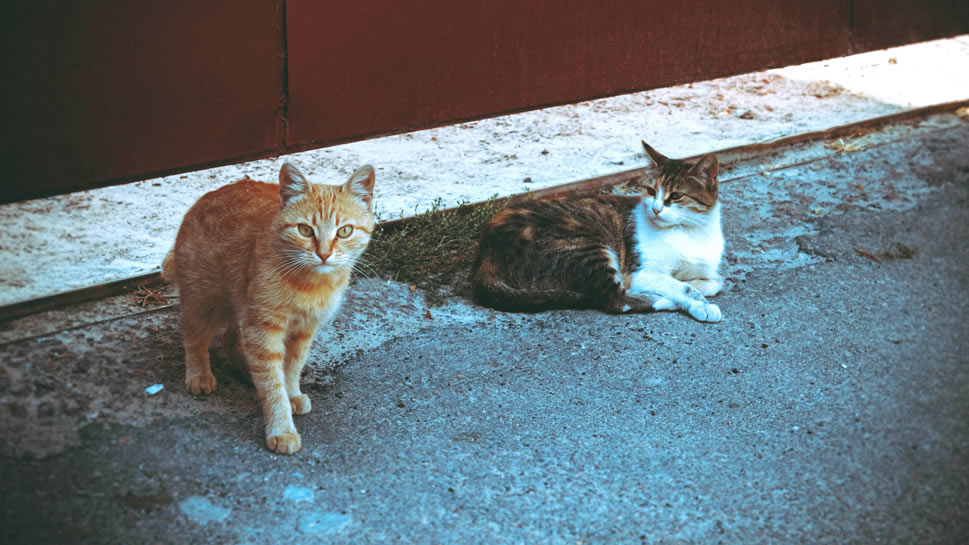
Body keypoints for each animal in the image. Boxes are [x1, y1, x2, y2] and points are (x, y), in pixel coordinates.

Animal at [163, 162, 374, 454]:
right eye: (305, 230)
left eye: (344, 231)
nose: (323, 254)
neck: (310, 284)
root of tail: (206, 197)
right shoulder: (263, 328)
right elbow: (272, 383)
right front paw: (281, 428)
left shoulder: (303, 331)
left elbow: (291, 367)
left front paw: (291, 393)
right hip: (201, 300)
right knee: (195, 338)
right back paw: (199, 374)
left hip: (239, 306)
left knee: (232, 341)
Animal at [468, 140, 728, 320]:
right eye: (652, 191)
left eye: (676, 196)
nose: (655, 209)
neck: (690, 232)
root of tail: (486, 254)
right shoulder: (638, 273)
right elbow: (681, 286)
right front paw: (698, 303)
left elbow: (715, 281)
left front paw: (698, 290)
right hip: (584, 245)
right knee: (614, 300)